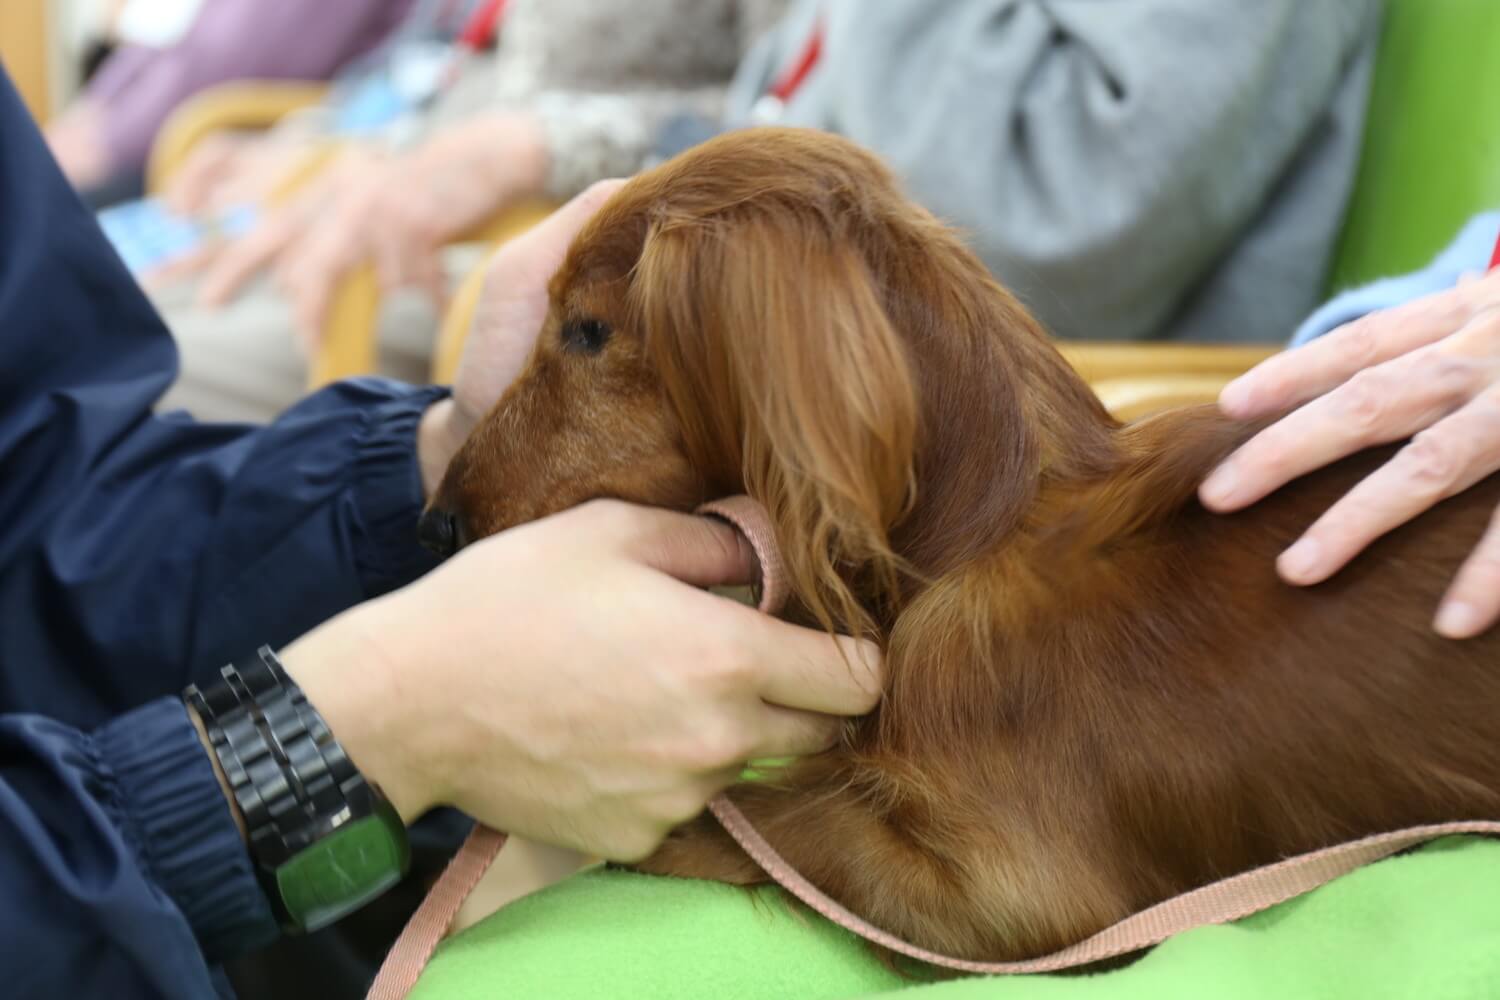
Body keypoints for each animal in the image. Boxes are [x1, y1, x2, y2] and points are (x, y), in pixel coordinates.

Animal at [420, 128, 1500, 965]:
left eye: (588, 331)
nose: (436, 523)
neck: (975, 544)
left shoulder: (1010, 899)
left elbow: (787, 821)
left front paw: (651, 820)